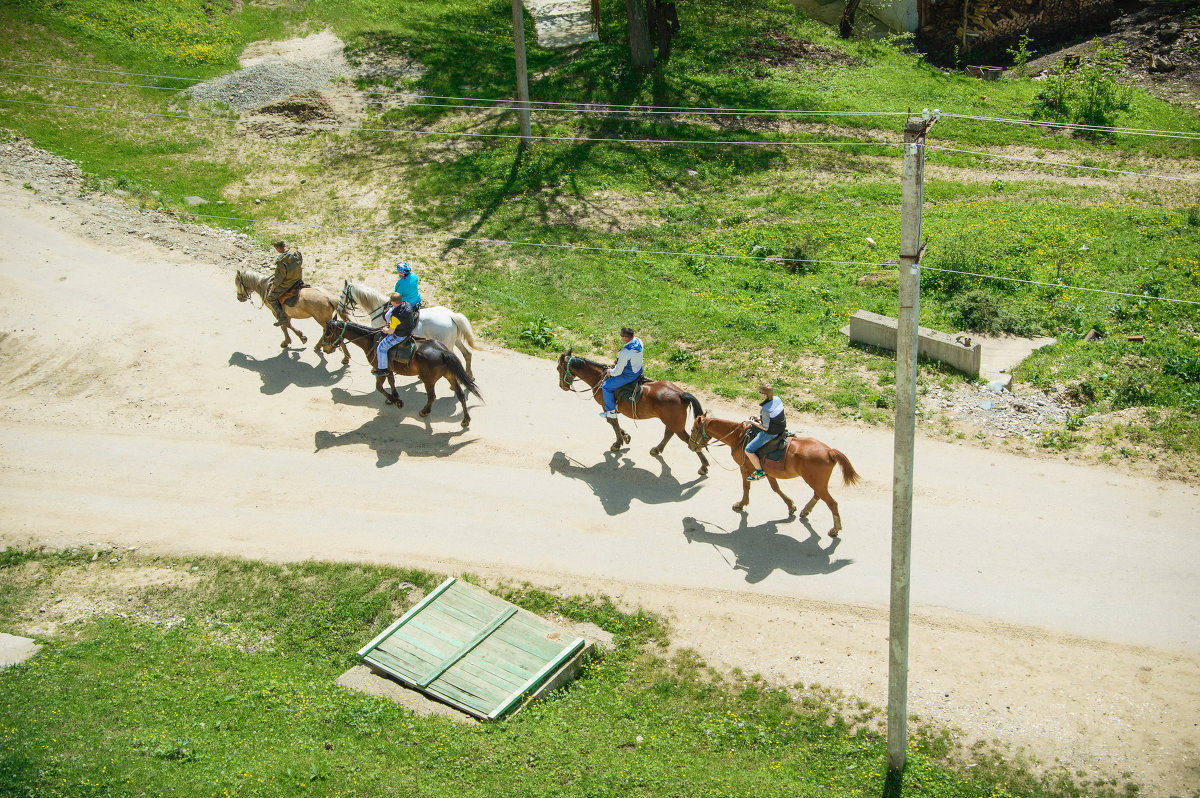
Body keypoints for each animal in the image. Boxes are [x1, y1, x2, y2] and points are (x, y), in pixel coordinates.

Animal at [324, 319, 487, 429]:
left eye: (327, 332)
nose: (326, 349)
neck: (371, 341)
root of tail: (443, 351)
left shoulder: (379, 371)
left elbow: (379, 387)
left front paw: (397, 401)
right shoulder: (388, 370)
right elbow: (391, 383)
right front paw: (393, 398)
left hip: (429, 380)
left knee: (432, 396)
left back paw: (424, 411)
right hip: (450, 376)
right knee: (460, 395)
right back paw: (465, 420)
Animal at [338, 279, 477, 376]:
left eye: (341, 296)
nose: (339, 310)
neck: (380, 309)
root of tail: (451, 315)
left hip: (447, 343)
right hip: (455, 340)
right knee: (467, 354)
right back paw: (469, 374)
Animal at [554, 348, 705, 472]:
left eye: (558, 368)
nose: (562, 386)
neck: (600, 378)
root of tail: (681, 394)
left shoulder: (606, 406)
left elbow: (612, 422)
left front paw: (618, 443)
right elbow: (614, 422)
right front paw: (625, 436)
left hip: (676, 424)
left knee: (689, 440)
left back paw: (704, 466)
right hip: (672, 422)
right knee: (669, 433)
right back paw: (657, 449)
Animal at [686, 410, 864, 535]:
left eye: (694, 429)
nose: (691, 445)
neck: (739, 437)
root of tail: (829, 451)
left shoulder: (745, 468)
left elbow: (746, 486)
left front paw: (741, 504)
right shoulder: (768, 472)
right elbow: (776, 488)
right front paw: (790, 506)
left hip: (816, 481)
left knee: (832, 503)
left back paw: (835, 529)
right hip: (817, 482)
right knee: (818, 495)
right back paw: (805, 511)